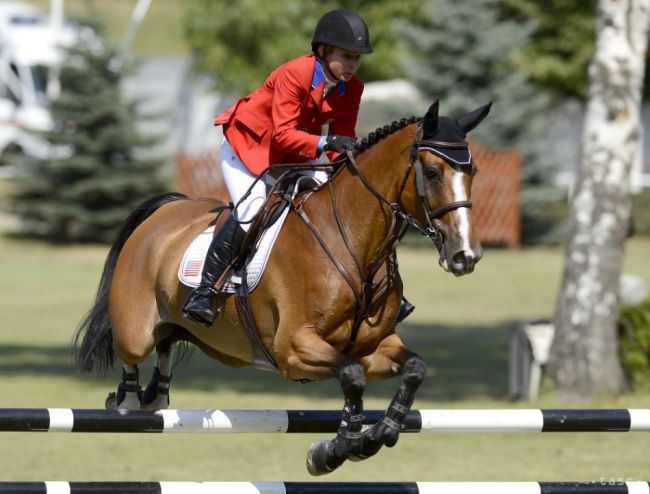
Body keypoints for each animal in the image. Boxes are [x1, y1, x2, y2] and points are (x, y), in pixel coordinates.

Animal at [72, 99, 486, 474]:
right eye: (432, 172)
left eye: (473, 171)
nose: (465, 254)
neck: (353, 244)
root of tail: (164, 211)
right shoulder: (294, 347)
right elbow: (351, 376)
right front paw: (335, 449)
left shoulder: (373, 347)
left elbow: (413, 368)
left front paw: (377, 432)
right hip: (135, 329)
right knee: (134, 353)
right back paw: (127, 400)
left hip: (180, 327)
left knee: (167, 345)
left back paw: (154, 394)